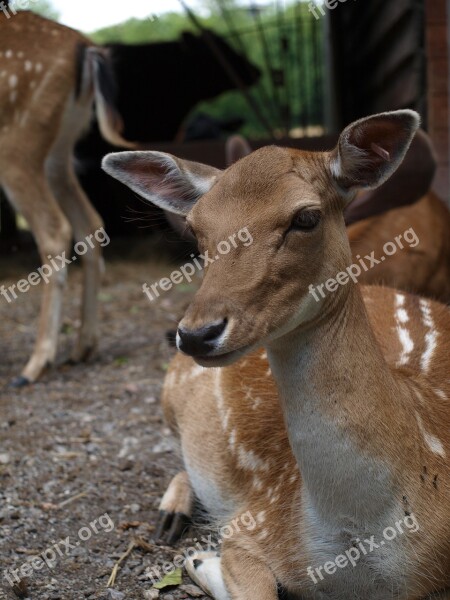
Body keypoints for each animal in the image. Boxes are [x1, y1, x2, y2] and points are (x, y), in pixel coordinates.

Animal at [0, 9, 134, 386]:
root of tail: (86, 48)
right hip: (59, 149)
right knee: (90, 222)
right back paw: (82, 347)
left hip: (18, 141)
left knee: (54, 229)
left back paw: (35, 364)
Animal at [103, 109, 450, 600]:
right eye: (196, 228)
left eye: (306, 217)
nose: (195, 334)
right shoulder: (256, 523)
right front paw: (200, 560)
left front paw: (199, 560)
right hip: (170, 394)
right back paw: (171, 518)